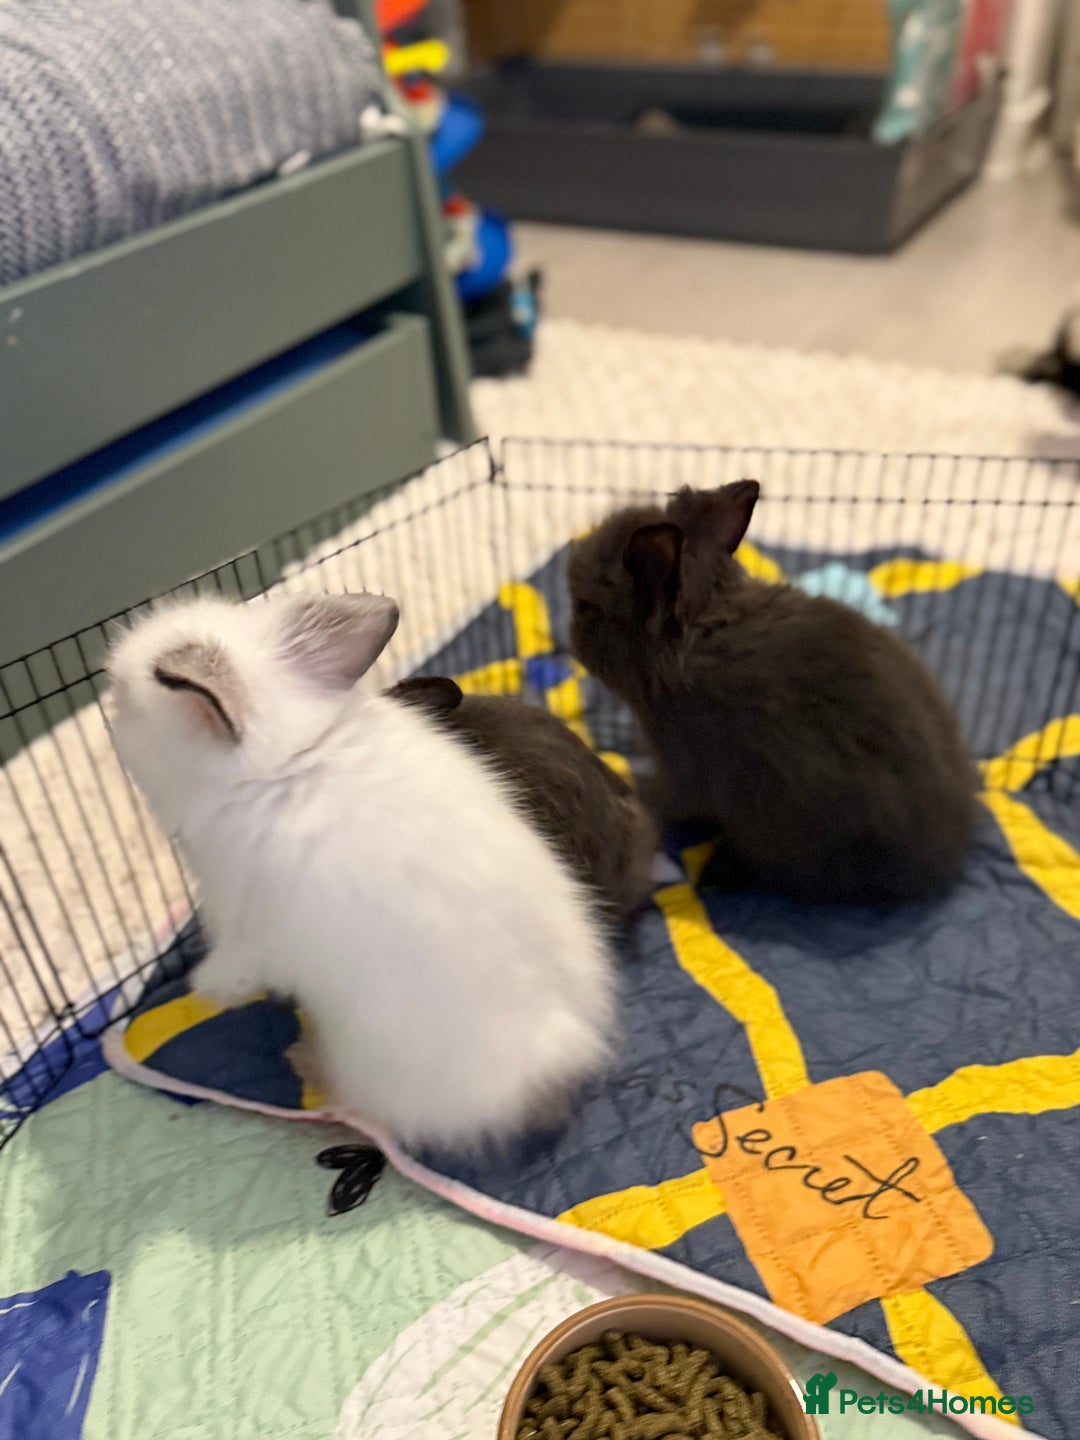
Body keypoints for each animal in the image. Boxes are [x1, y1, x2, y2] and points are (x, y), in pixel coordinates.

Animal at [106, 592, 616, 1152]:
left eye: (130, 699)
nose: (108, 708)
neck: (281, 760)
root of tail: (558, 1056)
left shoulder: (246, 928)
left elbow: (235, 968)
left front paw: (205, 988)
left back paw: (306, 1064)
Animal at [567, 480, 980, 907]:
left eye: (586, 607)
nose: (572, 639)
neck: (696, 632)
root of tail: (941, 861)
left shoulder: (680, 768)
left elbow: (666, 799)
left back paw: (717, 874)